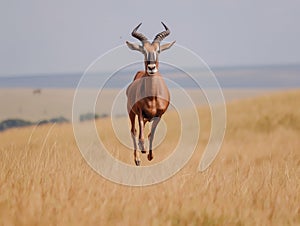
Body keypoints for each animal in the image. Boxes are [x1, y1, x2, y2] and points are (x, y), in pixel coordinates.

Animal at [125, 22, 176, 165]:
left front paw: (150, 156)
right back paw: (137, 159)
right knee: (134, 131)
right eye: (144, 50)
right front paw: (143, 149)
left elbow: (151, 134)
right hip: (131, 113)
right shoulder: (140, 112)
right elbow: (141, 135)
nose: (151, 68)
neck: (152, 97)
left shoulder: (159, 115)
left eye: (158, 50)